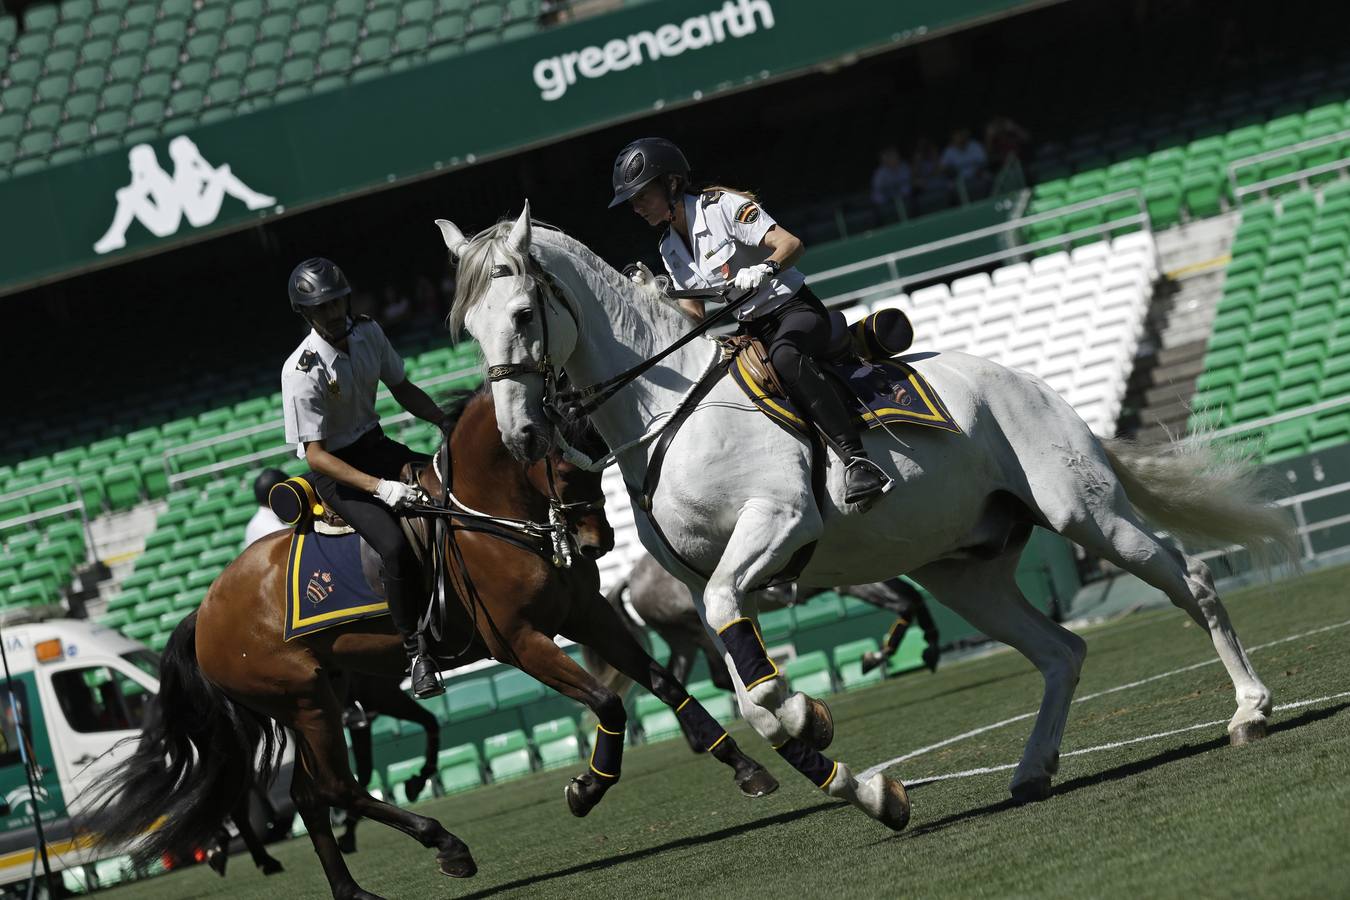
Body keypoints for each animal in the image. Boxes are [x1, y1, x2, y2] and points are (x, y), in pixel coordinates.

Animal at [89, 391, 777, 895]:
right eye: (560, 463)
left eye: (600, 449)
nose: (596, 543)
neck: (488, 518)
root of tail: (203, 610)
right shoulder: (519, 642)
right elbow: (608, 701)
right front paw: (588, 787)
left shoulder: (587, 613)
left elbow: (662, 680)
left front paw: (745, 766)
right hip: (307, 700)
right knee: (334, 789)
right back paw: (445, 844)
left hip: (317, 699)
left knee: (311, 796)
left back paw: (354, 891)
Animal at [440, 203, 1296, 831]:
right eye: (468, 328)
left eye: (523, 312)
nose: (520, 434)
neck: (666, 407)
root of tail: (1030, 383)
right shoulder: (714, 586)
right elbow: (748, 696)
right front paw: (862, 781)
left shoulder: (776, 526)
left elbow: (756, 683)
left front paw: (808, 717)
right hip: (965, 573)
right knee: (1061, 652)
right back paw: (1031, 769)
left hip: (1087, 514)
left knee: (1192, 580)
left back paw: (1251, 711)